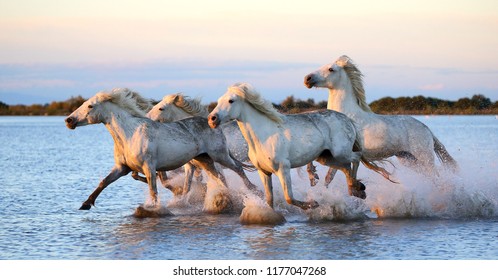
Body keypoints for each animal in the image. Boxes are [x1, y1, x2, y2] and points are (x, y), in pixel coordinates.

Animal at [66, 88, 235, 213]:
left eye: (90, 106)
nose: (68, 120)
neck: (129, 134)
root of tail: (212, 123)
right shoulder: (122, 168)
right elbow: (104, 182)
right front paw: (86, 204)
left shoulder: (149, 167)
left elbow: (154, 190)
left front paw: (154, 209)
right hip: (204, 160)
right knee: (219, 178)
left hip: (218, 156)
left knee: (233, 169)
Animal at [206, 82, 390, 209]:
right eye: (219, 100)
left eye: (231, 101)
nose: (212, 119)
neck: (264, 136)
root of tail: (347, 119)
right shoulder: (264, 172)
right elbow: (269, 199)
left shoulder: (283, 169)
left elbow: (289, 198)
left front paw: (313, 204)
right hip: (325, 157)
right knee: (345, 167)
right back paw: (356, 189)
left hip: (341, 152)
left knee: (356, 158)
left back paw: (356, 188)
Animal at [304, 55, 460, 182]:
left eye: (331, 69)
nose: (307, 79)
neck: (346, 116)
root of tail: (427, 129)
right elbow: (327, 174)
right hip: (409, 159)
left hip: (424, 158)